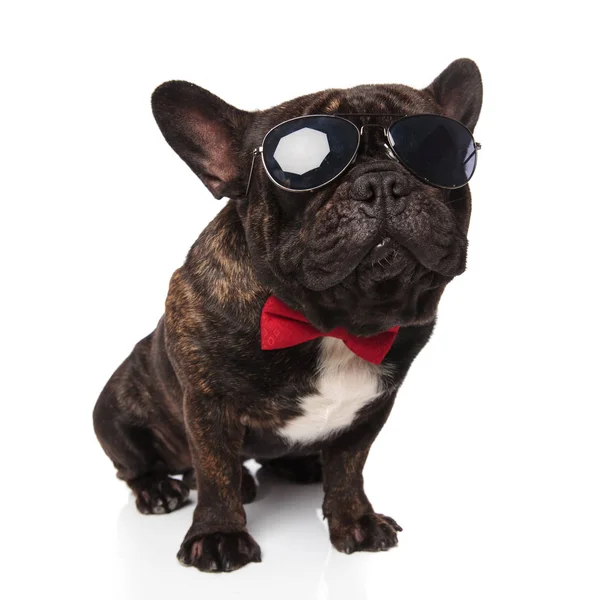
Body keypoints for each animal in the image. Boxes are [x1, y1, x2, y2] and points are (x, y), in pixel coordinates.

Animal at [95, 58, 488, 576]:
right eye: (303, 170)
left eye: (435, 153)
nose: (382, 183)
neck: (335, 323)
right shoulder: (207, 403)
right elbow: (215, 469)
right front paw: (218, 535)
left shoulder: (371, 408)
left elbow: (349, 467)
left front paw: (354, 522)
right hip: (115, 408)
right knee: (142, 465)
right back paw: (163, 488)